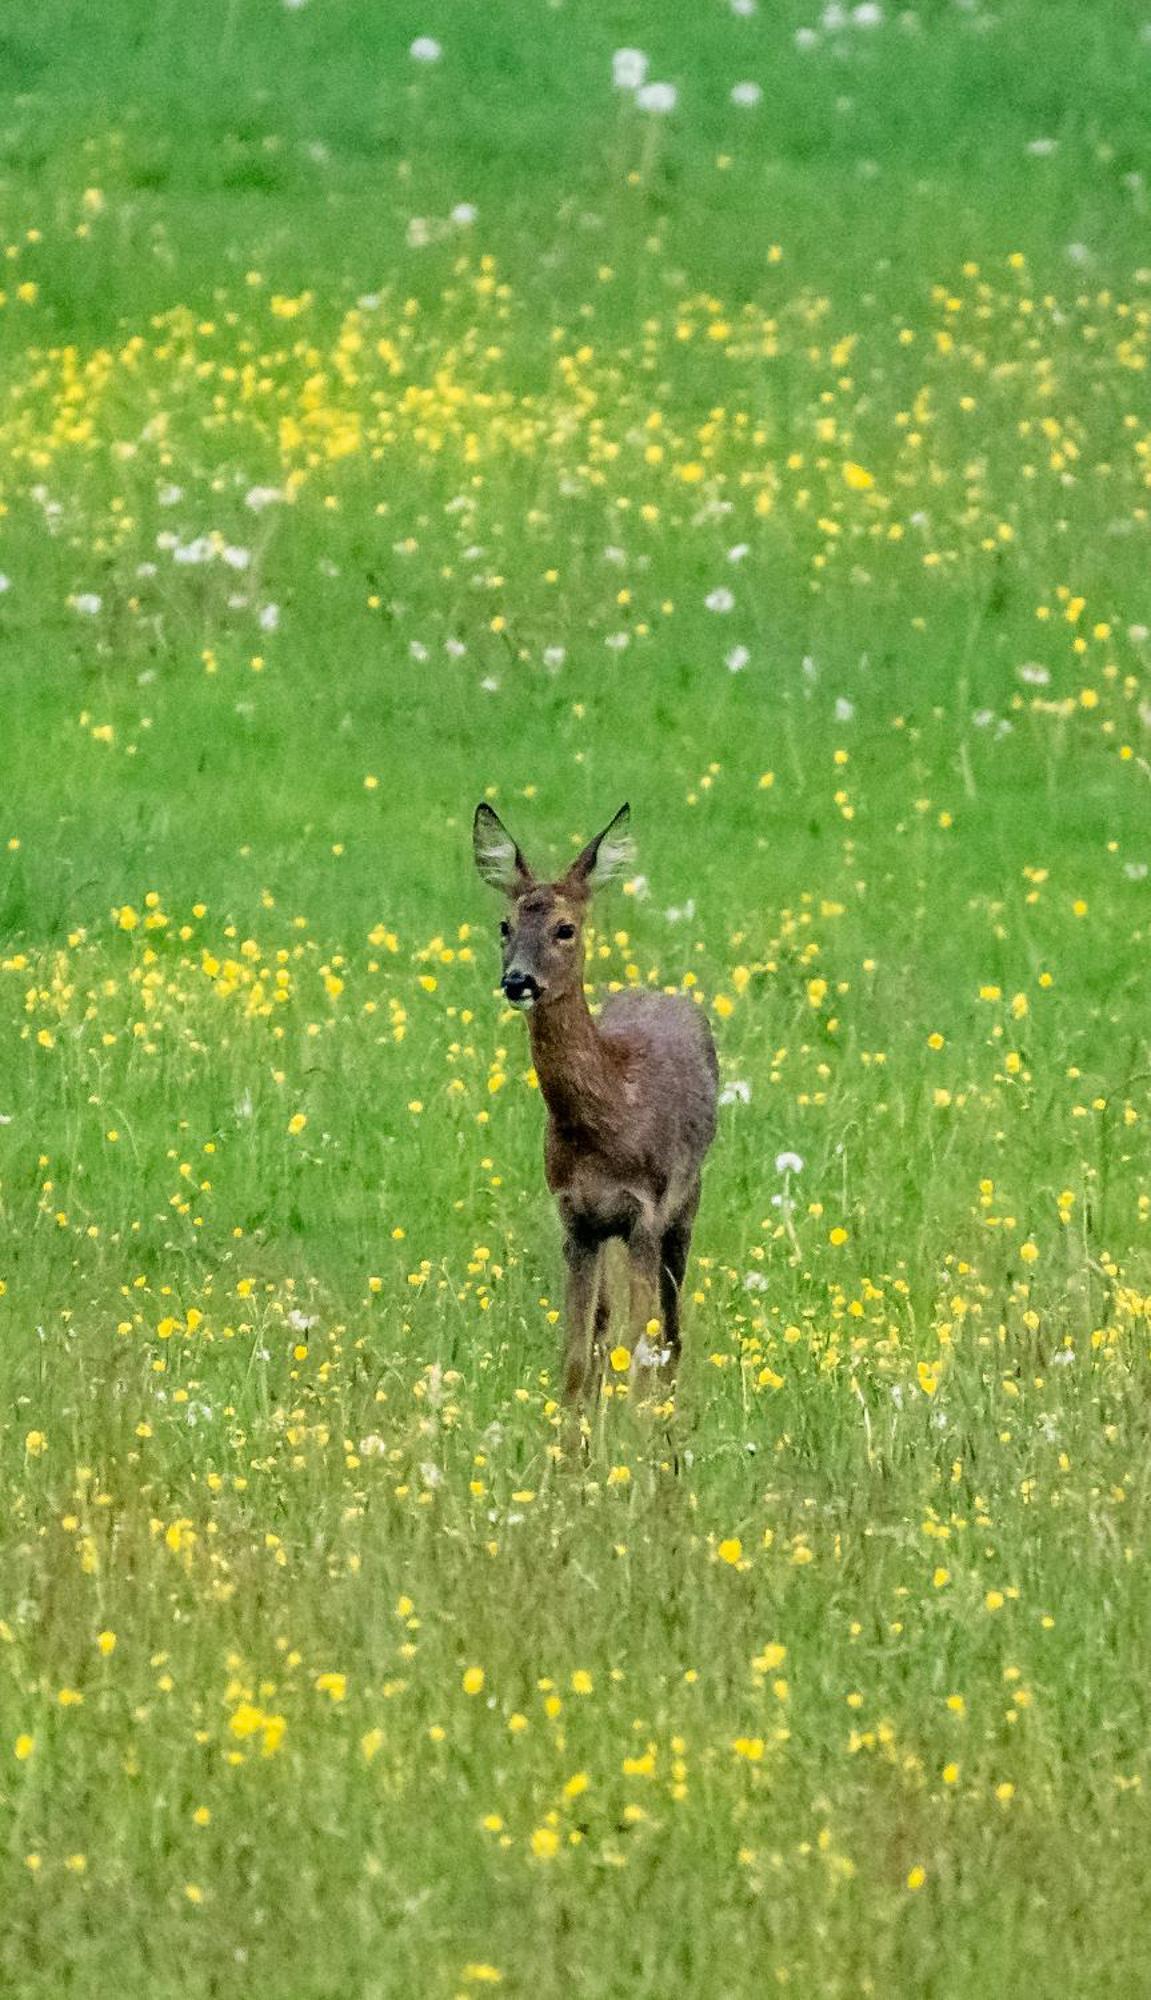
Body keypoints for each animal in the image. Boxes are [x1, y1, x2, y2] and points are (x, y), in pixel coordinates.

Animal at [471, 800, 715, 1408]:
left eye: (565, 928)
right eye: (505, 925)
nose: (517, 981)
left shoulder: (646, 1212)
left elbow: (640, 1352)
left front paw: (636, 1431)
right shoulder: (576, 1219)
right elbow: (578, 1359)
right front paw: (574, 1434)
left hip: (688, 1199)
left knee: (672, 1332)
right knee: (609, 1330)